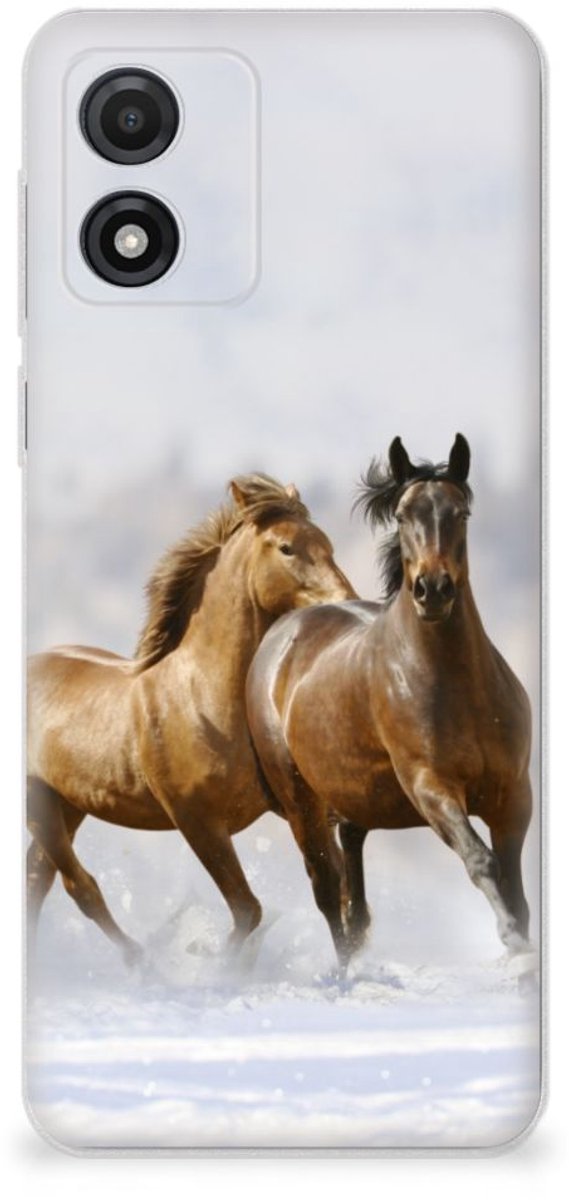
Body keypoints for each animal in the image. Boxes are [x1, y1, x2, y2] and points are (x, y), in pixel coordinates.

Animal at [27, 474, 356, 965]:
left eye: (327, 543)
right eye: (286, 548)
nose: (347, 602)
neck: (203, 698)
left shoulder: (298, 807)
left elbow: (331, 886)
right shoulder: (197, 821)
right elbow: (248, 911)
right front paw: (214, 963)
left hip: (67, 802)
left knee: (38, 878)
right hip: (39, 802)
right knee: (77, 886)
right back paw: (143, 962)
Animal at [246, 436, 533, 969]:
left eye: (461, 513)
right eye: (401, 515)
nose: (432, 590)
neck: (458, 688)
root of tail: (281, 634)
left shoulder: (513, 794)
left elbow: (515, 885)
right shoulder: (431, 788)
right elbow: (481, 861)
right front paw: (513, 944)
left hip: (352, 798)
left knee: (352, 885)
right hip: (301, 803)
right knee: (326, 888)